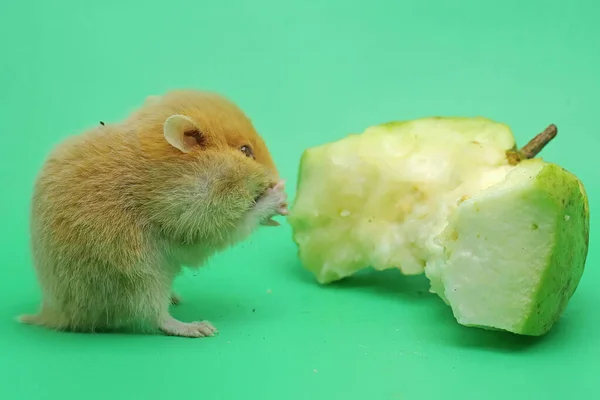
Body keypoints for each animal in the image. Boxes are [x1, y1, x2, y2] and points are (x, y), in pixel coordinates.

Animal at [19, 90, 288, 338]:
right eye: (245, 151)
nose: (278, 177)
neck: (177, 171)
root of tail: (52, 313)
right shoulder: (193, 219)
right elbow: (236, 224)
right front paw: (279, 198)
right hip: (140, 280)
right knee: (156, 317)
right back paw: (199, 328)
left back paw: (176, 298)